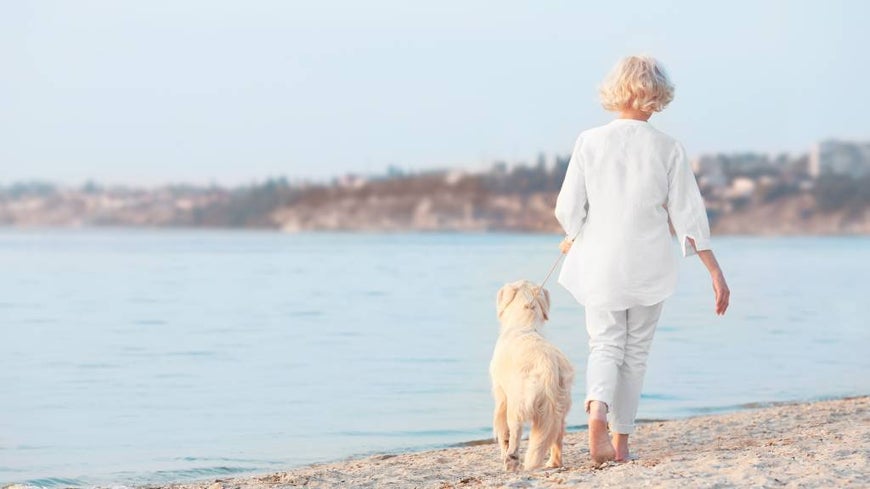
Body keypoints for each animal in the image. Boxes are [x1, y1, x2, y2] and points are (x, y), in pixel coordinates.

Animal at [490, 280, 580, 470]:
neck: (524, 326)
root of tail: (549, 366)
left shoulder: (501, 395)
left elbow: (503, 432)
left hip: (518, 402)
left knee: (515, 433)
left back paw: (511, 461)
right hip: (559, 409)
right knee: (556, 438)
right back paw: (552, 463)